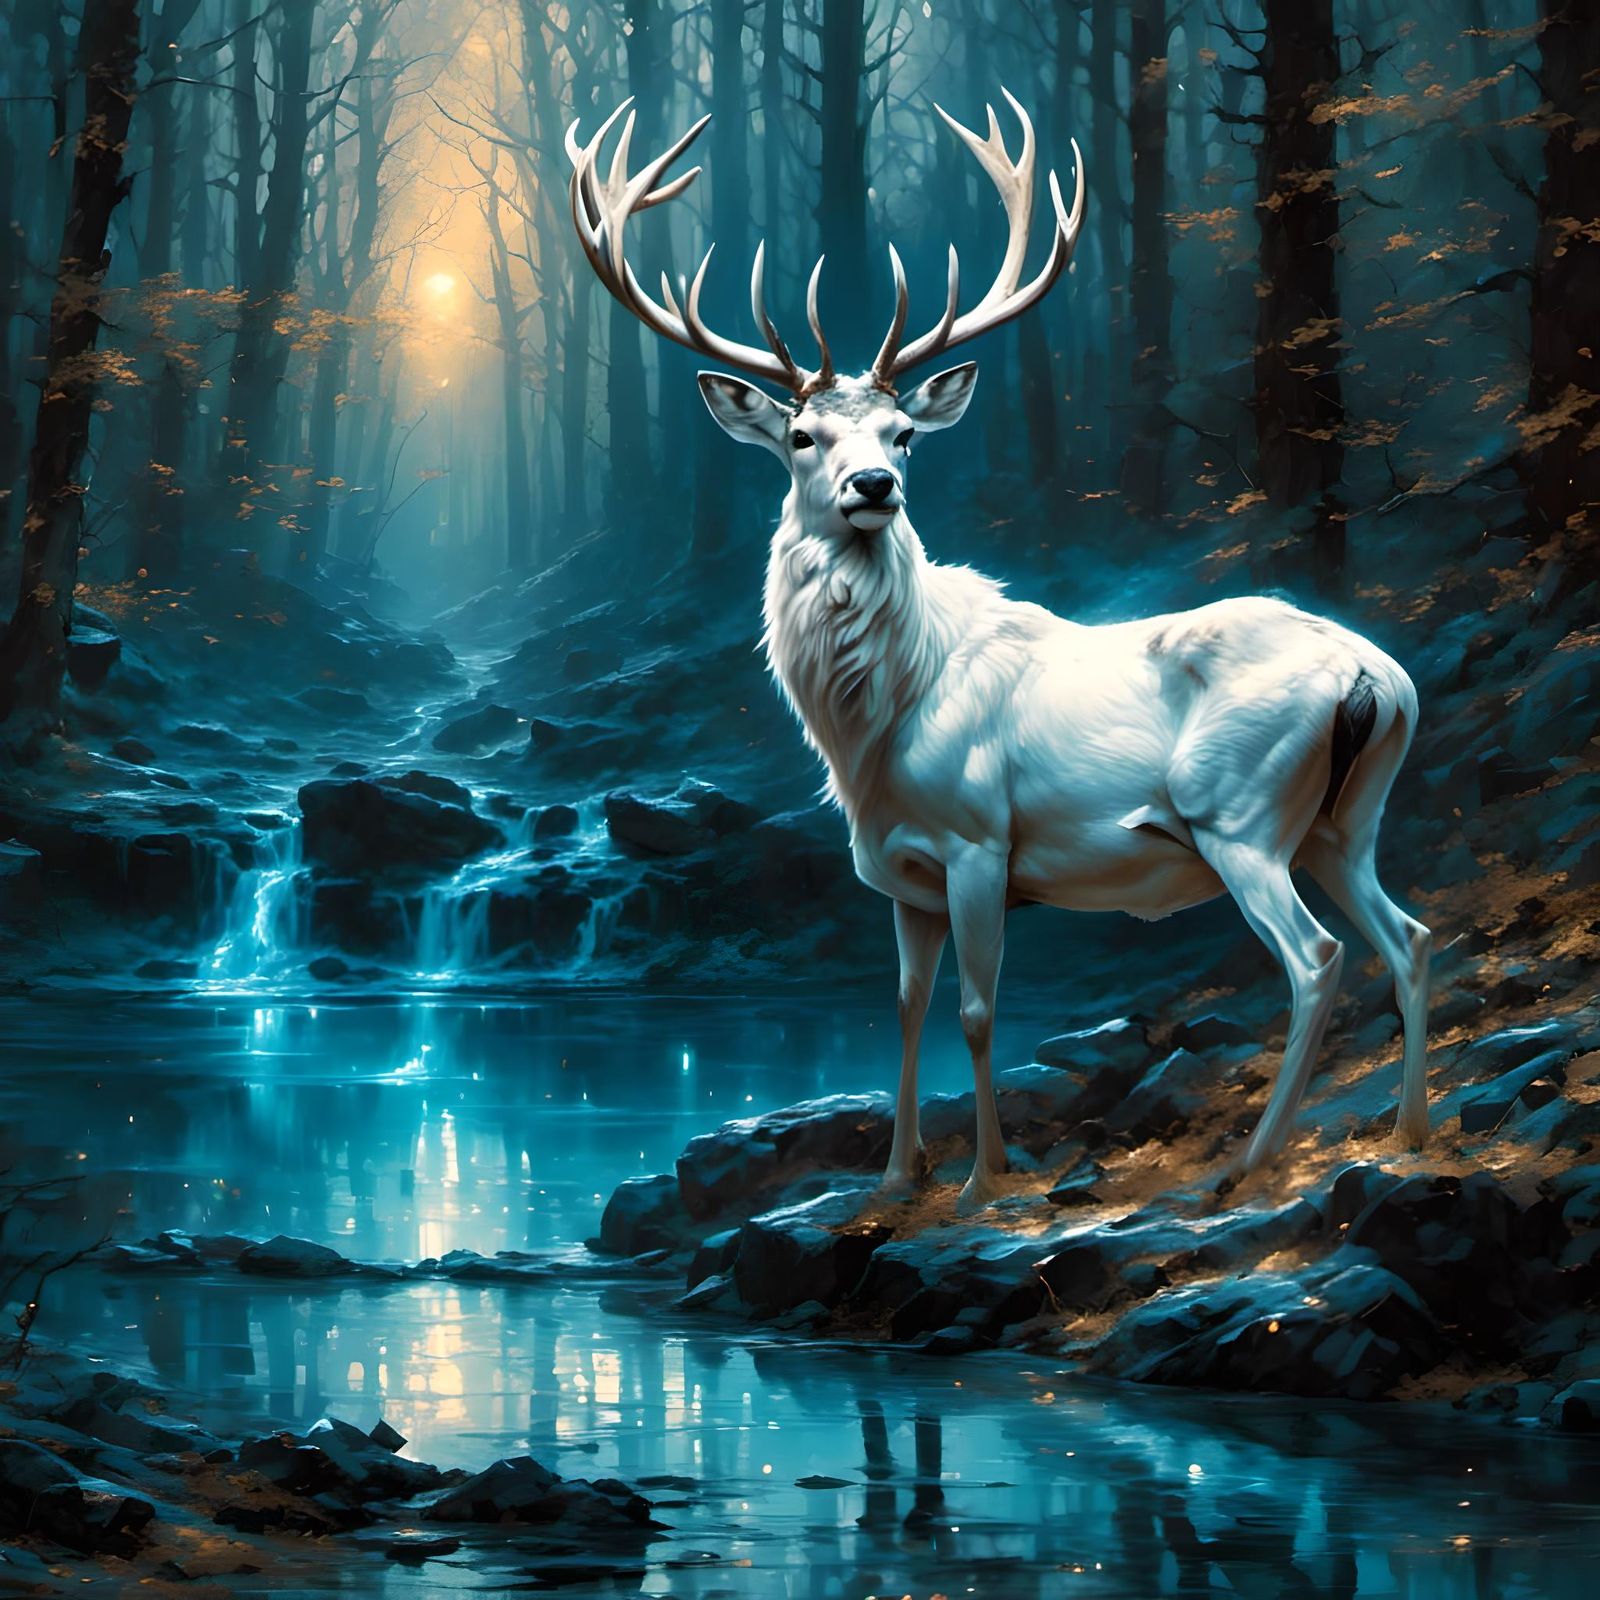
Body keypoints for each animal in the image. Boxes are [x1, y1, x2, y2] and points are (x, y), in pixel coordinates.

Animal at [566, 92, 1431, 1212]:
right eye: (802, 436)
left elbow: (978, 1010)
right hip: (1346, 817)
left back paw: (1252, 1161)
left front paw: (983, 1176)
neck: (876, 727)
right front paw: (896, 1175)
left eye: (902, 431)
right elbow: (904, 1004)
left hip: (1237, 810)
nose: (873, 487)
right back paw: (1410, 1130)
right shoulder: (901, 877)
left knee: (1318, 957)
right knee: (1408, 936)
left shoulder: (980, 840)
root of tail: (1379, 676)